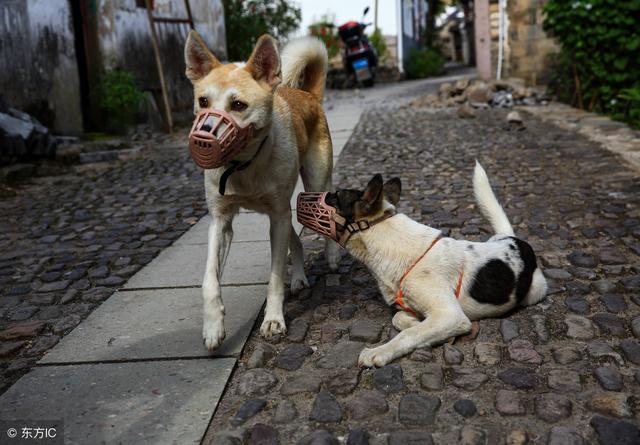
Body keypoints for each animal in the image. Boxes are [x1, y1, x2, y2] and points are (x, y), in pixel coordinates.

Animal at [182, 31, 338, 350]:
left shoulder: (276, 217)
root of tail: (309, 95)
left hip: (314, 184)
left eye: (238, 105)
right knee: (296, 240)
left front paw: (274, 320)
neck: (242, 166)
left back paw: (331, 256)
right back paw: (299, 279)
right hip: (282, 213)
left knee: (328, 205)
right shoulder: (222, 222)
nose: (203, 137)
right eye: (203, 101)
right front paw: (213, 327)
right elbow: (209, 280)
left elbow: (275, 278)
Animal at [298, 161, 544, 366]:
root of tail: (514, 239)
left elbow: (407, 335)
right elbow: (400, 319)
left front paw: (379, 351)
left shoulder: (450, 315)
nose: (301, 194)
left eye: (334, 197)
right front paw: (418, 323)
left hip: (536, 291)